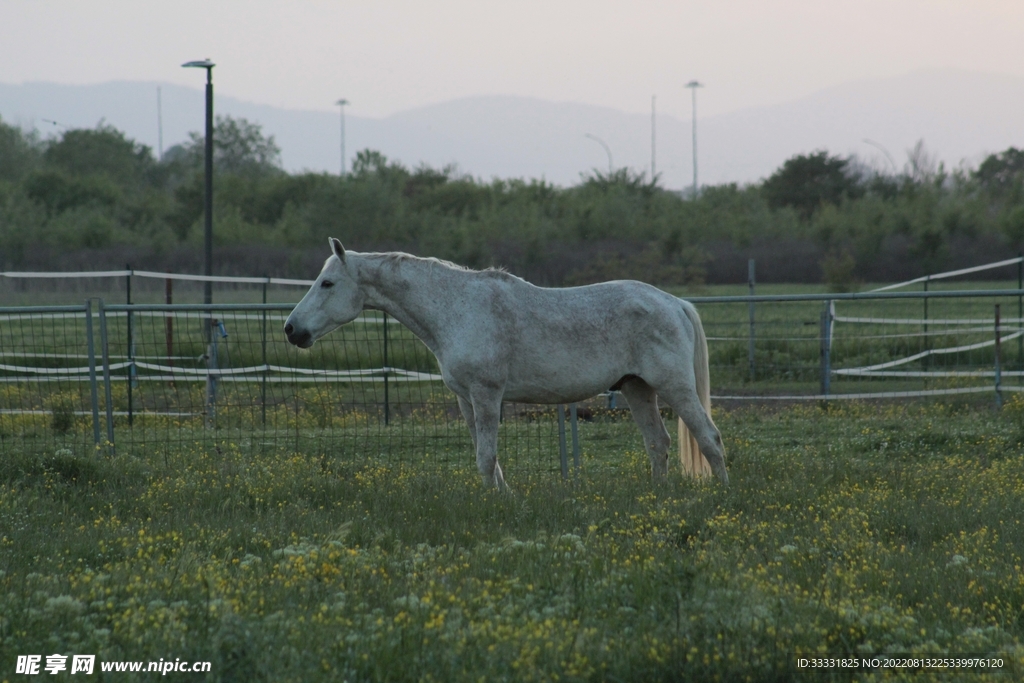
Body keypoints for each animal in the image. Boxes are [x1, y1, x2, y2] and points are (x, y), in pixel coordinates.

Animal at [284, 238, 727, 488]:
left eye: (327, 283)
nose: (291, 329)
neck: (456, 308)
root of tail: (673, 302)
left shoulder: (486, 396)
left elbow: (486, 457)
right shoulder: (466, 400)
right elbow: (486, 458)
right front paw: (500, 498)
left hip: (674, 387)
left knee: (708, 437)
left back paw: (722, 495)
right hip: (637, 388)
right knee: (659, 444)